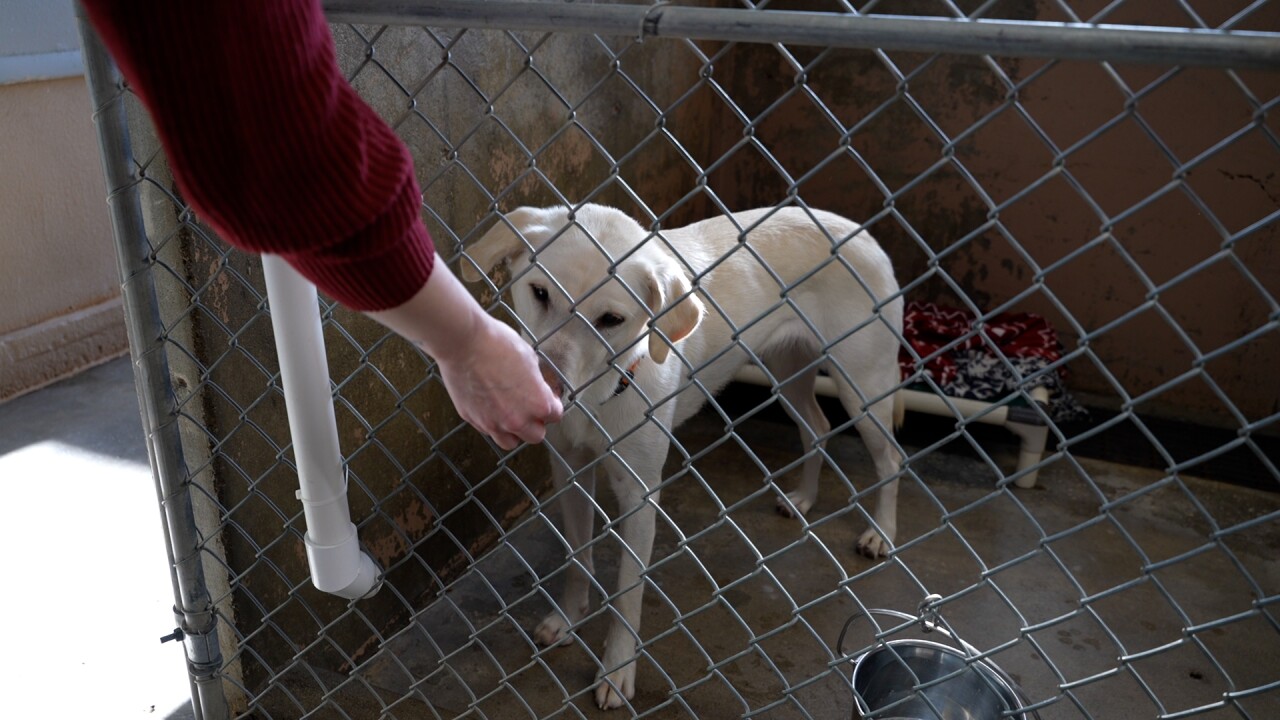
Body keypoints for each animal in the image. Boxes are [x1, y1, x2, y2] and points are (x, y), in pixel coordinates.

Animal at [460, 202, 901, 707]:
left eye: (610, 319)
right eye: (539, 293)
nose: (540, 391)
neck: (602, 392)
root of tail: (861, 232)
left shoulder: (639, 495)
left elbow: (628, 591)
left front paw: (617, 670)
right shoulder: (569, 471)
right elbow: (577, 556)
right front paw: (570, 618)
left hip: (862, 386)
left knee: (890, 458)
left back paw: (881, 534)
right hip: (786, 370)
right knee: (817, 427)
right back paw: (803, 498)